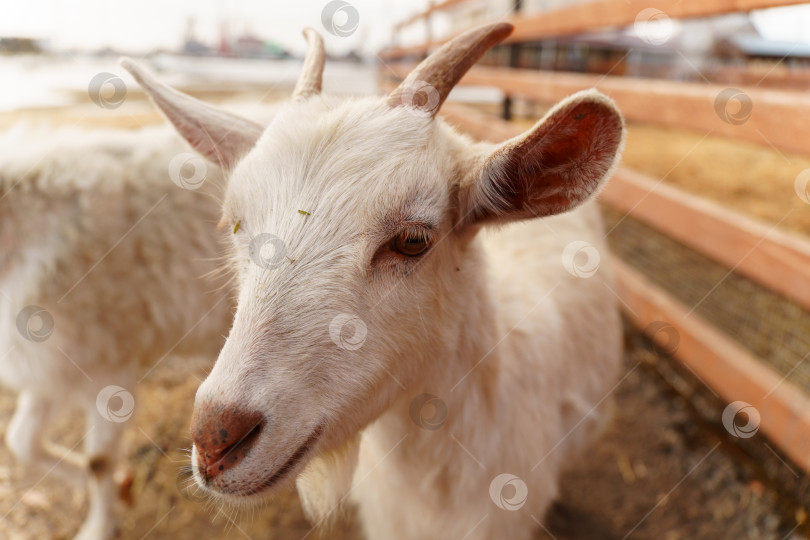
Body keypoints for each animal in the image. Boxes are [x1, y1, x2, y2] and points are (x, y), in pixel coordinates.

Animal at [0, 125, 234, 536]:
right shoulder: (55, 364)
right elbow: (21, 440)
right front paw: (123, 487)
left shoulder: (108, 367)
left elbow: (98, 462)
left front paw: (97, 528)